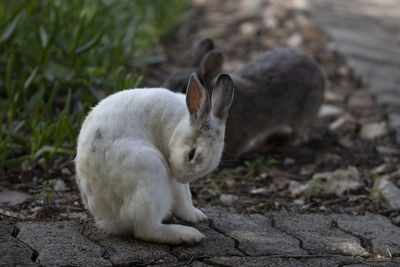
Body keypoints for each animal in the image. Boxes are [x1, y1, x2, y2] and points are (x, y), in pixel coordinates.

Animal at [75, 73, 234, 245]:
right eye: (192, 154)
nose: (181, 178)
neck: (179, 124)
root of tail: (109, 220)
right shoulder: (172, 177)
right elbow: (183, 197)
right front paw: (191, 216)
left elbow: (187, 194)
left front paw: (199, 215)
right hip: (152, 172)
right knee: (146, 230)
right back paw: (189, 235)